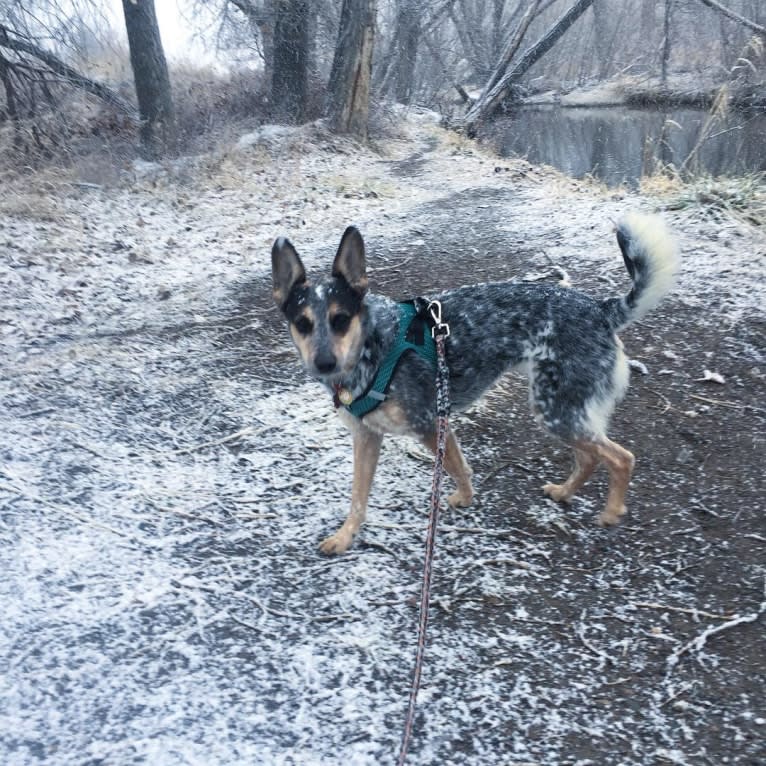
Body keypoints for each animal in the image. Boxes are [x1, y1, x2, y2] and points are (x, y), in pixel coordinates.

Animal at [272, 213, 680, 556]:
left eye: (341, 319)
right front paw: (345, 536)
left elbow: (457, 468)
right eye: (303, 323)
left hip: (556, 412)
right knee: (590, 456)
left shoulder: (431, 425)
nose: (324, 363)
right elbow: (358, 498)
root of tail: (600, 308)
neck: (376, 346)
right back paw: (565, 492)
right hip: (564, 411)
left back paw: (611, 511)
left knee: (621, 458)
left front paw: (464, 499)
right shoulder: (367, 437)